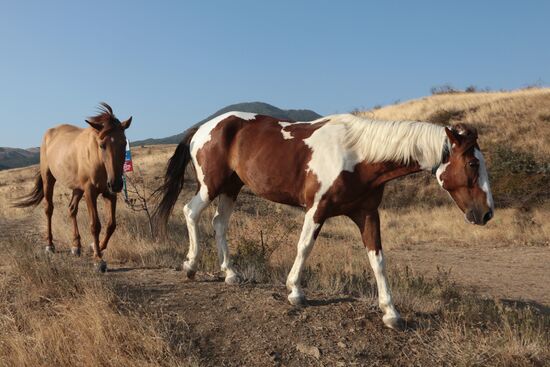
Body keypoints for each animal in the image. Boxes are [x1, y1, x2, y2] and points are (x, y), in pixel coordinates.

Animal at [14, 103, 133, 274]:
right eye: (102, 145)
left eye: (124, 143)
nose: (116, 183)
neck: (97, 159)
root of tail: (50, 133)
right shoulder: (90, 192)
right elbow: (95, 225)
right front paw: (98, 260)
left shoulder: (110, 194)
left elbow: (111, 225)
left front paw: (95, 247)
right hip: (49, 178)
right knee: (49, 209)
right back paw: (50, 245)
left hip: (77, 188)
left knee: (72, 209)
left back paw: (76, 246)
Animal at [155, 110, 496, 330]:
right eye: (472, 163)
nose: (487, 213)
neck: (359, 156)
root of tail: (203, 128)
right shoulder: (317, 209)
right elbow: (304, 246)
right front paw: (295, 291)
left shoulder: (367, 214)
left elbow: (378, 261)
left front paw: (391, 312)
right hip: (211, 185)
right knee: (190, 213)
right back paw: (190, 266)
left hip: (231, 188)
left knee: (219, 224)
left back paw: (230, 273)